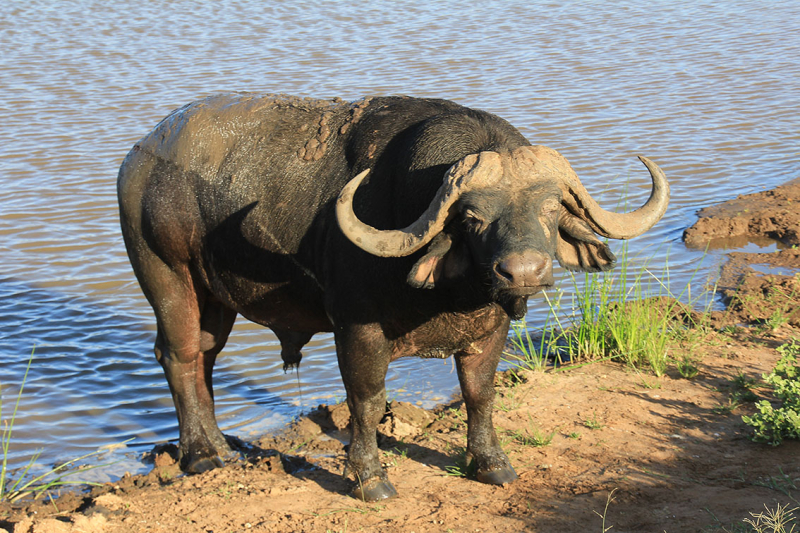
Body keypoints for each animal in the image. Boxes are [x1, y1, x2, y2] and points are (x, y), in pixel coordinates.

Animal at [117, 93, 668, 500]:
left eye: (552, 207)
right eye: (472, 217)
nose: (522, 272)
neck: (450, 294)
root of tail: (140, 155)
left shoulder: (490, 328)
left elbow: (479, 393)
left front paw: (491, 463)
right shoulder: (356, 329)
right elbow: (366, 400)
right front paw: (370, 477)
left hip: (215, 298)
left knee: (205, 357)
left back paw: (219, 443)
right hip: (168, 276)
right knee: (178, 354)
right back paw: (201, 455)